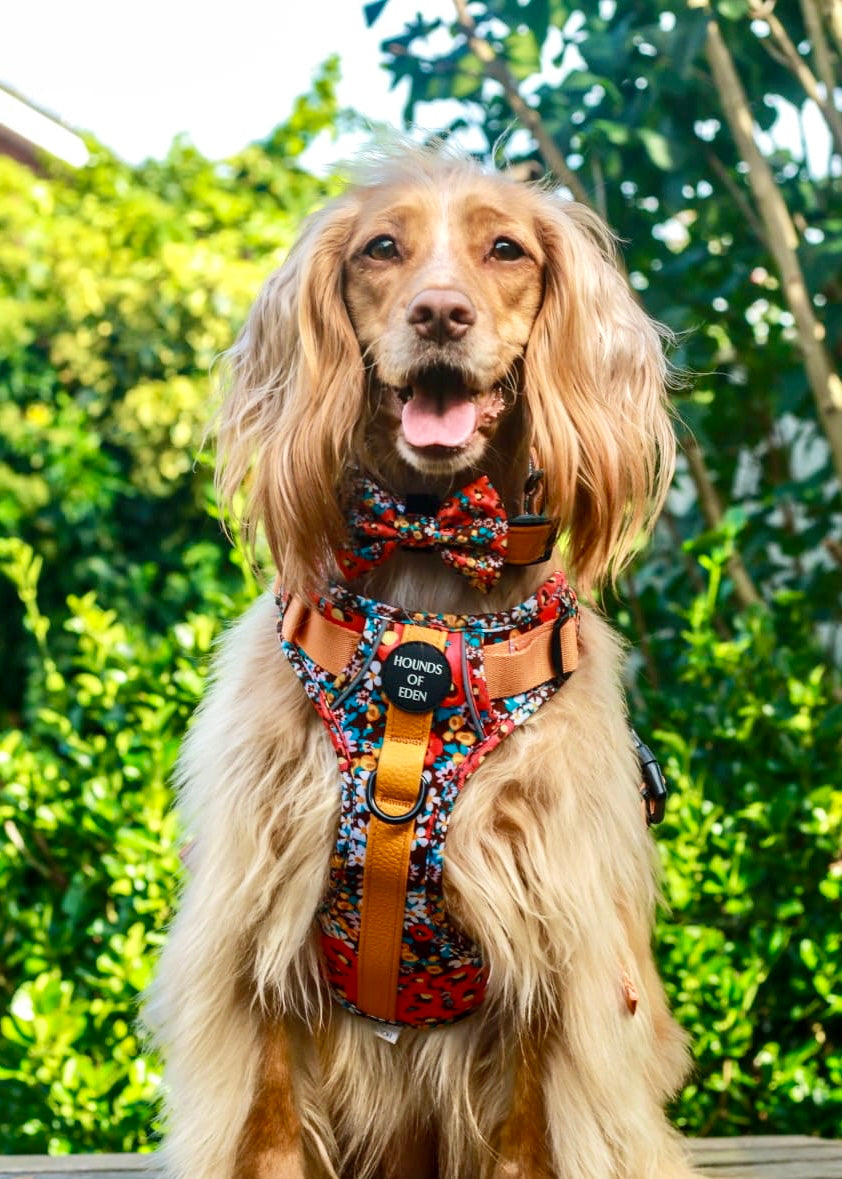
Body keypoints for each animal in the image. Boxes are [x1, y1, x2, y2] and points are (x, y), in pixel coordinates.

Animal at [149, 147, 693, 1179]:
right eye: (381, 248)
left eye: (506, 249)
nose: (441, 313)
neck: (430, 576)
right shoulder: (259, 916)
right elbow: (268, 1126)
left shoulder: (550, 935)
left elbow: (529, 1137)